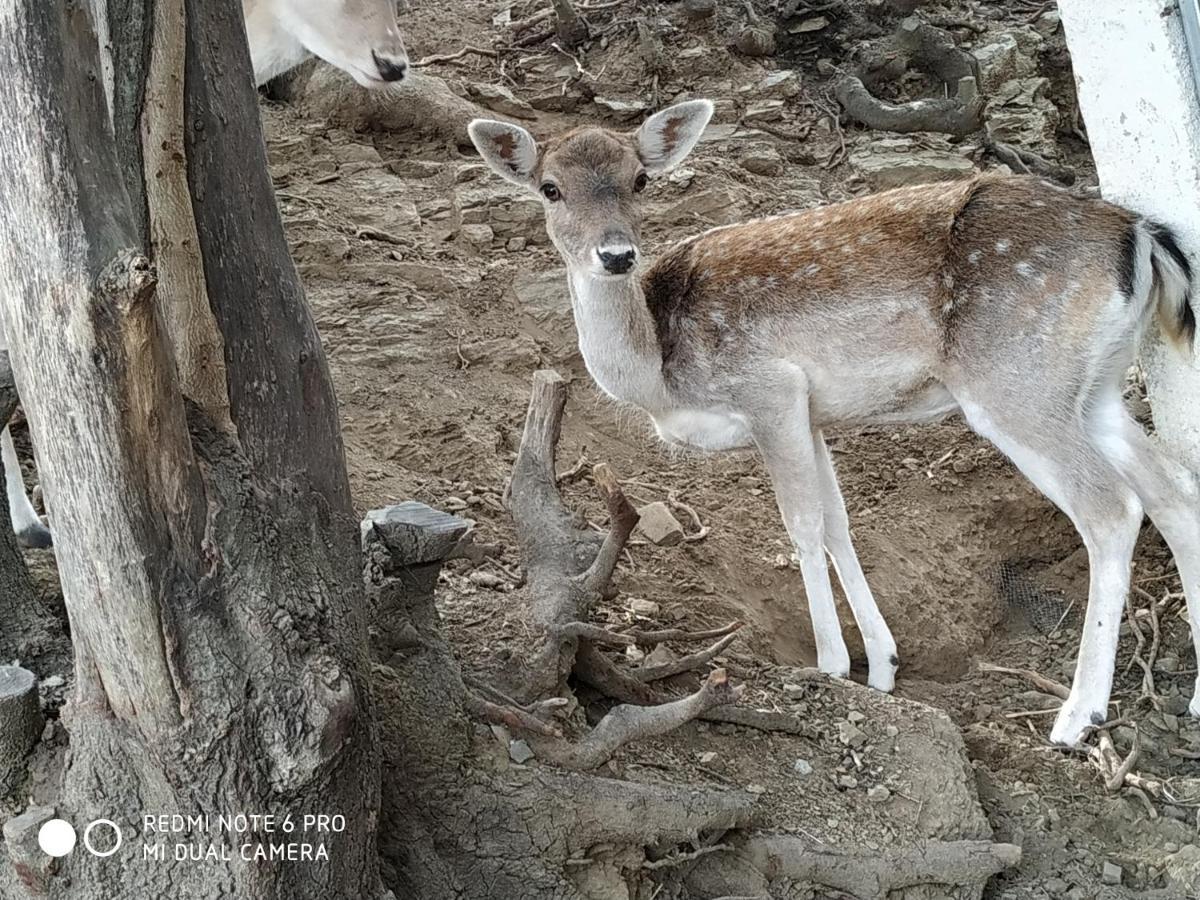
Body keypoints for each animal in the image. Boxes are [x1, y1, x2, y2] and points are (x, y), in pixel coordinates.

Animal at [470, 98, 1200, 748]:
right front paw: (882, 665)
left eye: (640, 180)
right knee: (1174, 490)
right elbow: (837, 521)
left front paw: (830, 665)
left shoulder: (770, 390)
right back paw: (1192, 698)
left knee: (1112, 508)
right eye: (550, 188)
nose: (617, 255)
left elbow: (801, 523)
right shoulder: (813, 413)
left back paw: (1078, 717)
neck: (660, 374)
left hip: (1015, 382)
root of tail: (1142, 239)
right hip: (1093, 388)